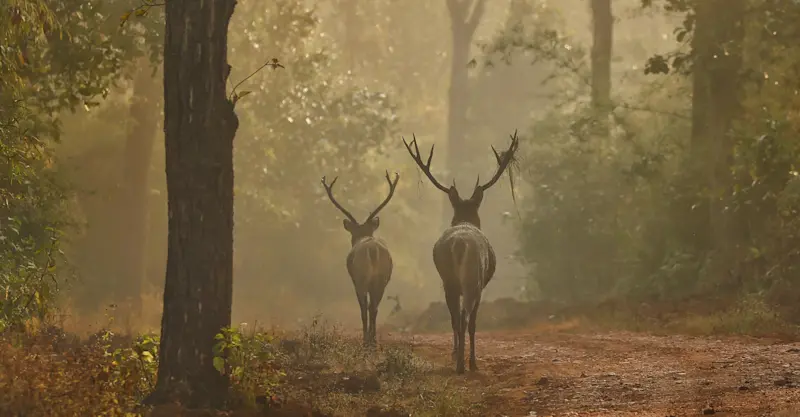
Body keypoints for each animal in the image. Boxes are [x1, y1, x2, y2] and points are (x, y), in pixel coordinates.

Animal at [321, 170, 400, 347]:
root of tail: (373, 251)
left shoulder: (355, 280)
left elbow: (363, 307)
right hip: (382, 279)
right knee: (374, 307)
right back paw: (373, 340)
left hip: (362, 277)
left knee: (365, 307)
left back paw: (367, 340)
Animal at [402, 131, 519, 374]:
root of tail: (460, 244)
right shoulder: (481, 284)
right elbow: (471, 321)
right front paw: (470, 360)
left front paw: (456, 353)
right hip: (473, 279)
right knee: (466, 318)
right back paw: (468, 363)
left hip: (448, 278)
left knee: (455, 317)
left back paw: (458, 359)